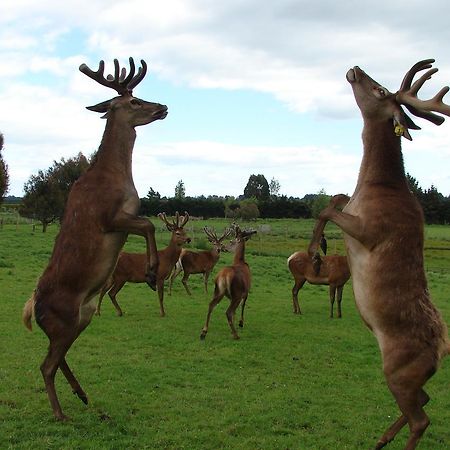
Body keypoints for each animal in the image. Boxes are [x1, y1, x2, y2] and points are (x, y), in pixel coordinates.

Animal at [21, 58, 169, 420]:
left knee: (56, 358)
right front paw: (150, 273)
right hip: (64, 320)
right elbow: (148, 225)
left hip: (81, 318)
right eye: (134, 101)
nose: (163, 107)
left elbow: (148, 224)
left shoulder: (123, 220)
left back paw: (82, 394)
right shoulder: (110, 218)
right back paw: (60, 413)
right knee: (46, 365)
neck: (118, 178)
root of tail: (33, 310)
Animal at [310, 59, 450, 450]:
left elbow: (327, 210)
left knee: (422, 417)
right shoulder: (353, 208)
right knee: (424, 400)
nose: (356, 68)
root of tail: (440, 352)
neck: (375, 185)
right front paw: (317, 249)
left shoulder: (372, 230)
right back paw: (382, 438)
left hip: (399, 371)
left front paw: (315, 251)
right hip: (410, 379)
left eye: (381, 91)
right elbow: (334, 200)